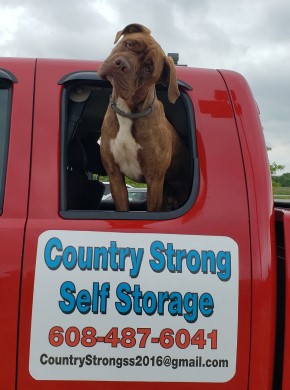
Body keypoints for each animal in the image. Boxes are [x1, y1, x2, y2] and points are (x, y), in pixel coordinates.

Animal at [98, 22, 191, 212]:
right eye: (129, 44)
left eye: (148, 68)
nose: (121, 64)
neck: (128, 111)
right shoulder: (115, 176)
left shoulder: (154, 180)